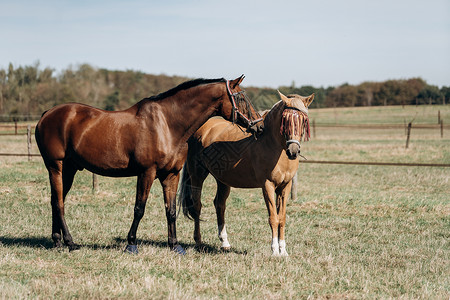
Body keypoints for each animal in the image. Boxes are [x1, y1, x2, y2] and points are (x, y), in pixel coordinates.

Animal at [36, 76, 264, 254]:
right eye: (240, 97)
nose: (259, 126)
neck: (167, 124)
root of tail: (46, 114)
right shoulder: (146, 173)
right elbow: (139, 208)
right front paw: (131, 244)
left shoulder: (171, 175)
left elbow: (171, 210)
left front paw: (175, 245)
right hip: (55, 166)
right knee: (59, 203)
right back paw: (70, 242)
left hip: (69, 169)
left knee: (56, 200)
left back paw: (57, 241)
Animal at [179, 91, 312, 255]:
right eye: (285, 120)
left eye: (303, 120)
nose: (293, 151)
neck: (272, 145)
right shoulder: (267, 186)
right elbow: (273, 218)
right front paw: (275, 251)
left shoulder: (285, 187)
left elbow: (282, 218)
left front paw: (284, 251)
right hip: (197, 175)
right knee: (197, 205)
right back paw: (198, 242)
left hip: (223, 180)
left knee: (219, 205)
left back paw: (225, 243)